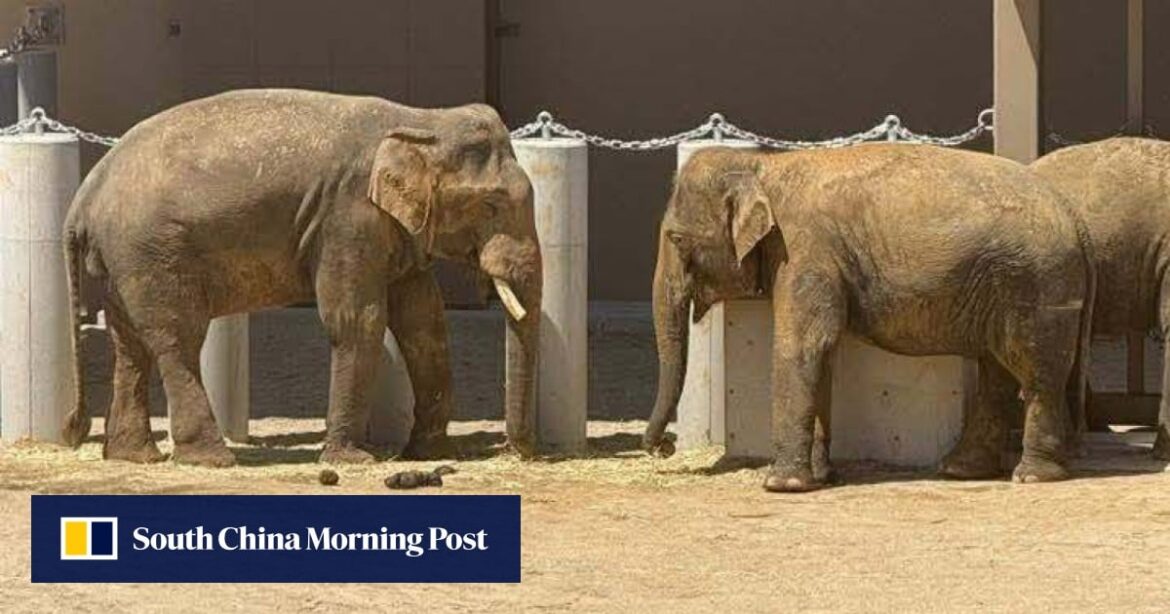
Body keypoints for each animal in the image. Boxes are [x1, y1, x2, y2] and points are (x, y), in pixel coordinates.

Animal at [58, 89, 542, 467]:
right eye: (491, 205)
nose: (515, 451)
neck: (422, 119)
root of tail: (84, 196)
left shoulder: (395, 228)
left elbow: (424, 320)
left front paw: (429, 455)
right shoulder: (347, 216)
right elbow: (359, 320)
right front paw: (351, 460)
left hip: (124, 260)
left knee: (129, 345)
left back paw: (134, 456)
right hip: (151, 252)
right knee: (177, 340)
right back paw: (212, 459)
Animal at [642, 144, 1095, 492]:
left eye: (676, 239)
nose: (662, 447)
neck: (764, 167)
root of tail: (1074, 216)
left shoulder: (805, 251)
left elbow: (804, 345)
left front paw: (781, 486)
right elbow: (824, 352)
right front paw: (822, 477)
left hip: (1038, 288)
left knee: (1034, 374)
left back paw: (1032, 477)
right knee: (997, 374)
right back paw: (961, 470)